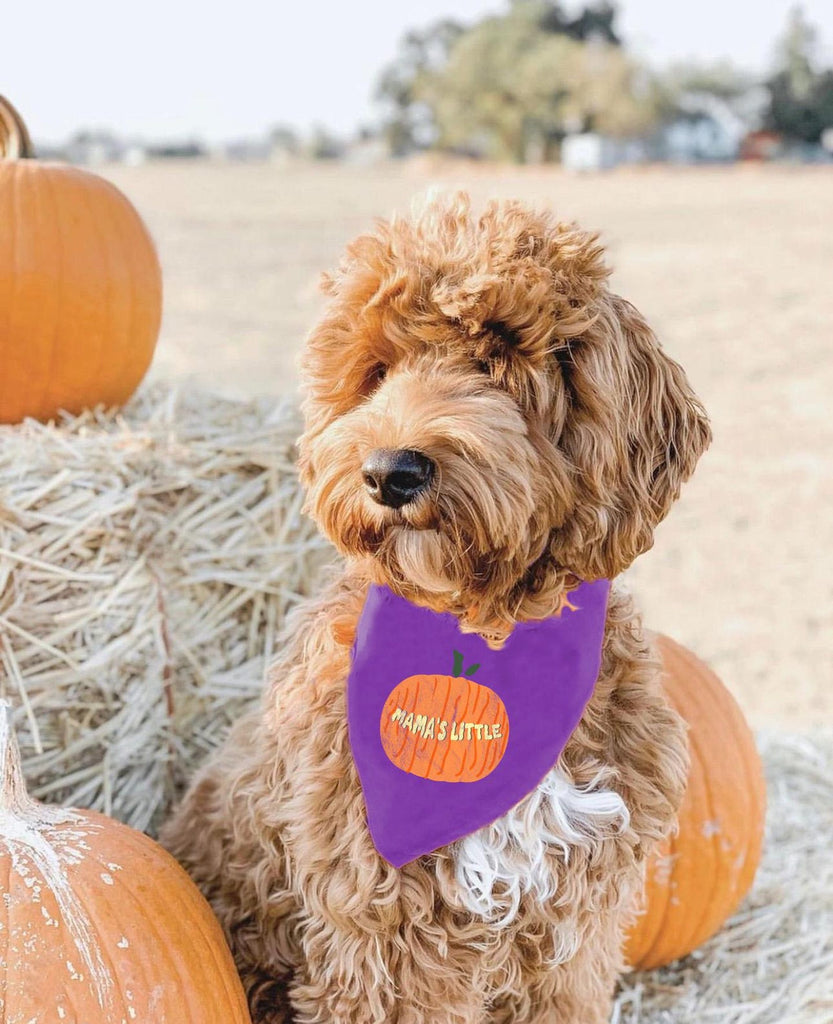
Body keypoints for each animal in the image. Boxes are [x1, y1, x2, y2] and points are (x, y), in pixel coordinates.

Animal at [162, 193, 709, 1024]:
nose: (390, 471)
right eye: (376, 371)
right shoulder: (383, 931)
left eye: (494, 360)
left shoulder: (575, 930)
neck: (482, 634)